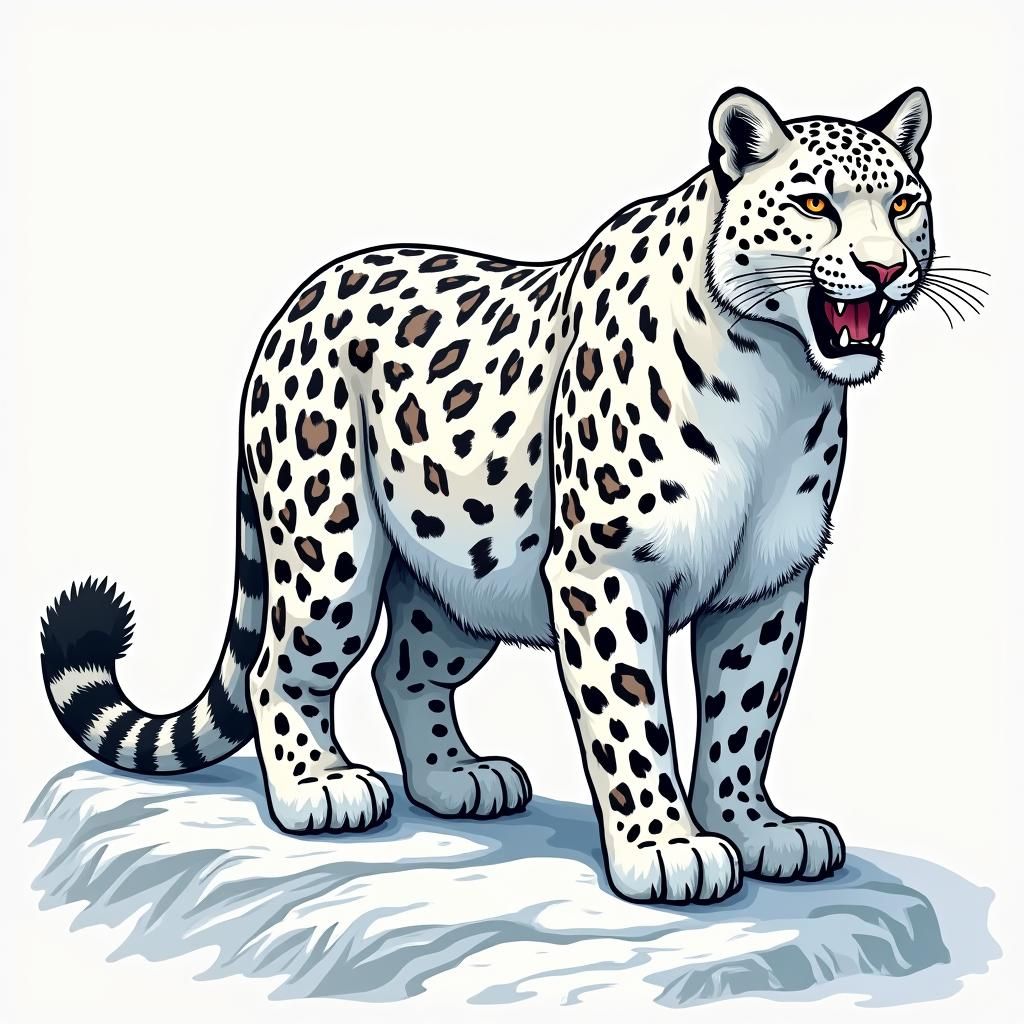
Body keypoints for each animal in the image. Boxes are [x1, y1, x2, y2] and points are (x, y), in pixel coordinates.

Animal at [41, 88, 942, 905]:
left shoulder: (767, 583)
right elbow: (632, 718)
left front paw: (754, 828)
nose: (885, 268)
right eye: (815, 203)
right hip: (331, 554)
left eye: (904, 203)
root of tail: (296, 303)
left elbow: (745, 715)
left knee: (404, 667)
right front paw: (665, 848)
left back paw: (457, 779)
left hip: (465, 573)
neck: (780, 379)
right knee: (279, 668)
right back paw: (319, 788)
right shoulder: (606, 569)